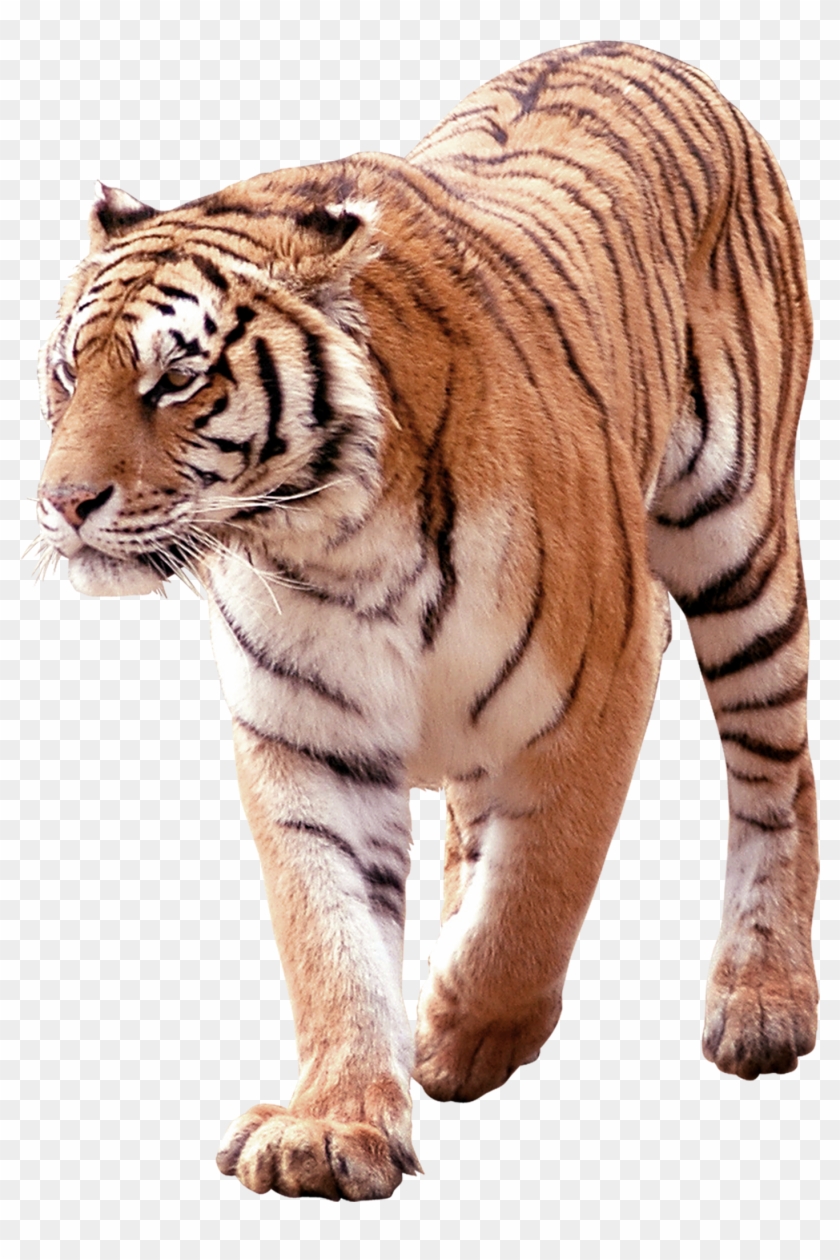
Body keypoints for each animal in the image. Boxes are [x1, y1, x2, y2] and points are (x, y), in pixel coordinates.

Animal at [36, 42, 819, 1201]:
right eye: (64, 372)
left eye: (175, 379)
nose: (61, 503)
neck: (331, 542)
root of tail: (636, 45)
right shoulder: (305, 739)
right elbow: (331, 939)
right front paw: (333, 1124)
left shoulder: (603, 682)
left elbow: (537, 893)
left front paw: (462, 1030)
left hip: (740, 545)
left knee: (779, 775)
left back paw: (764, 1002)